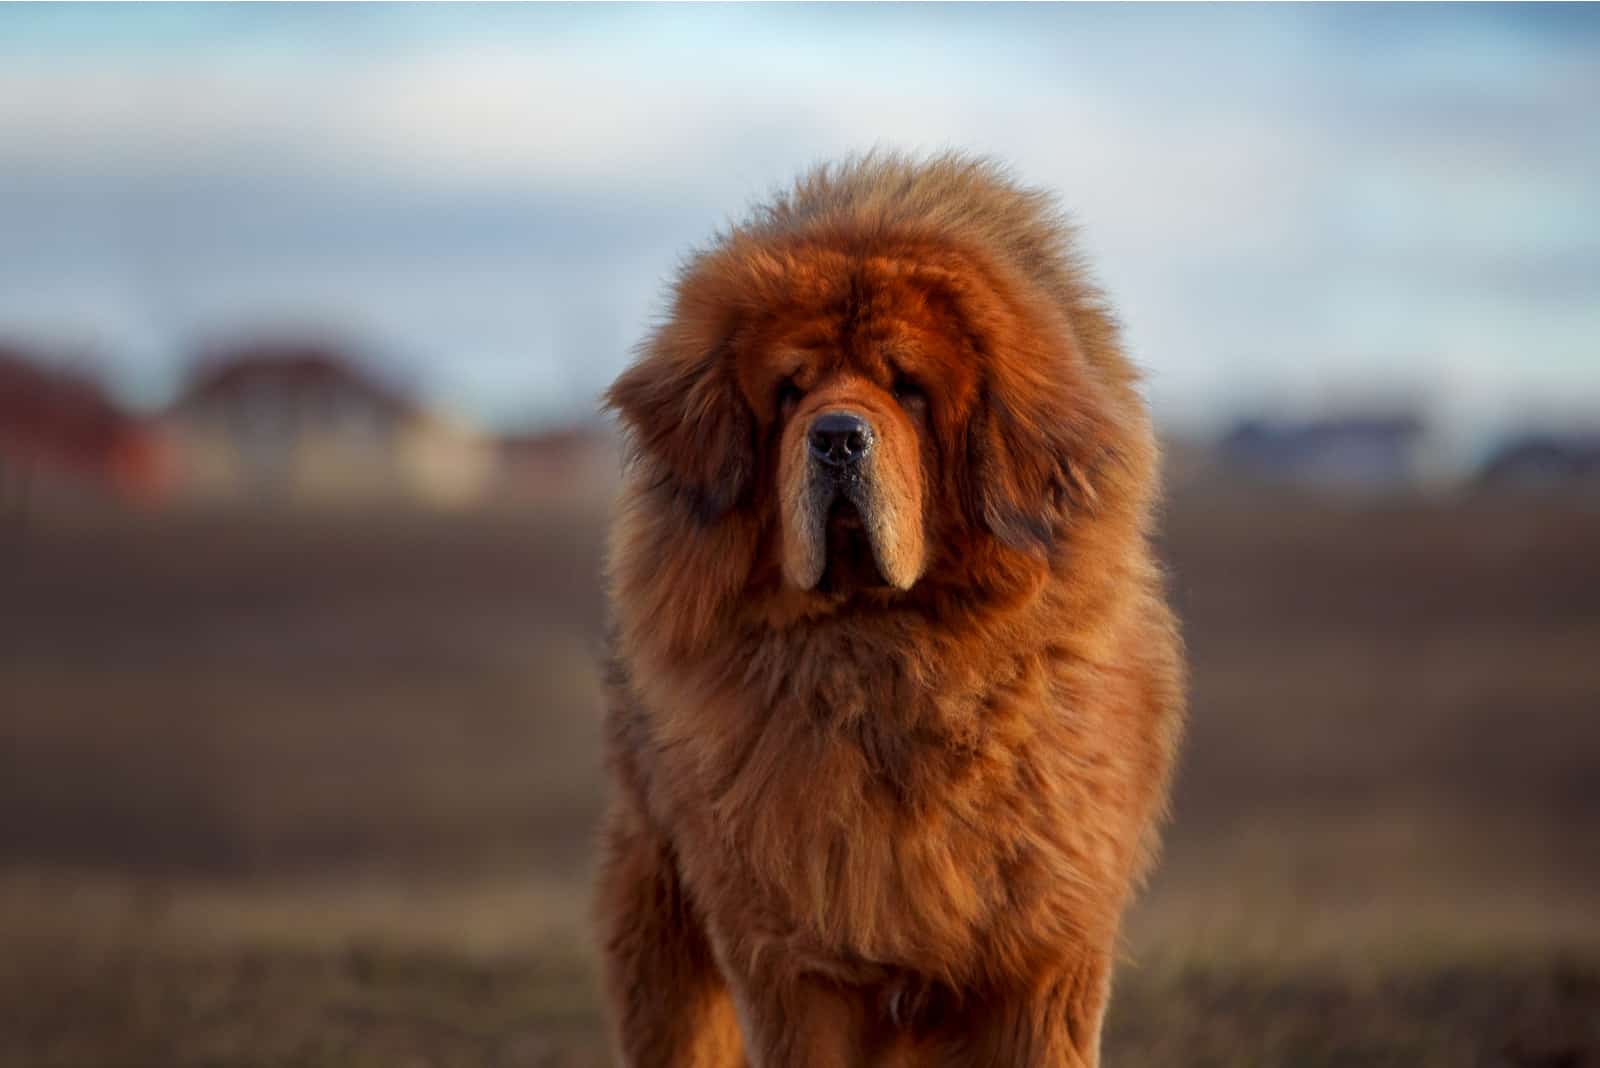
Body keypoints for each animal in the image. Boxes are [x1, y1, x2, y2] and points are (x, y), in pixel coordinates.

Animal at [595, 151, 1184, 1068]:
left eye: (908, 389)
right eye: (790, 390)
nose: (837, 434)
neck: (887, 660)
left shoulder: (1043, 955)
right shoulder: (794, 960)